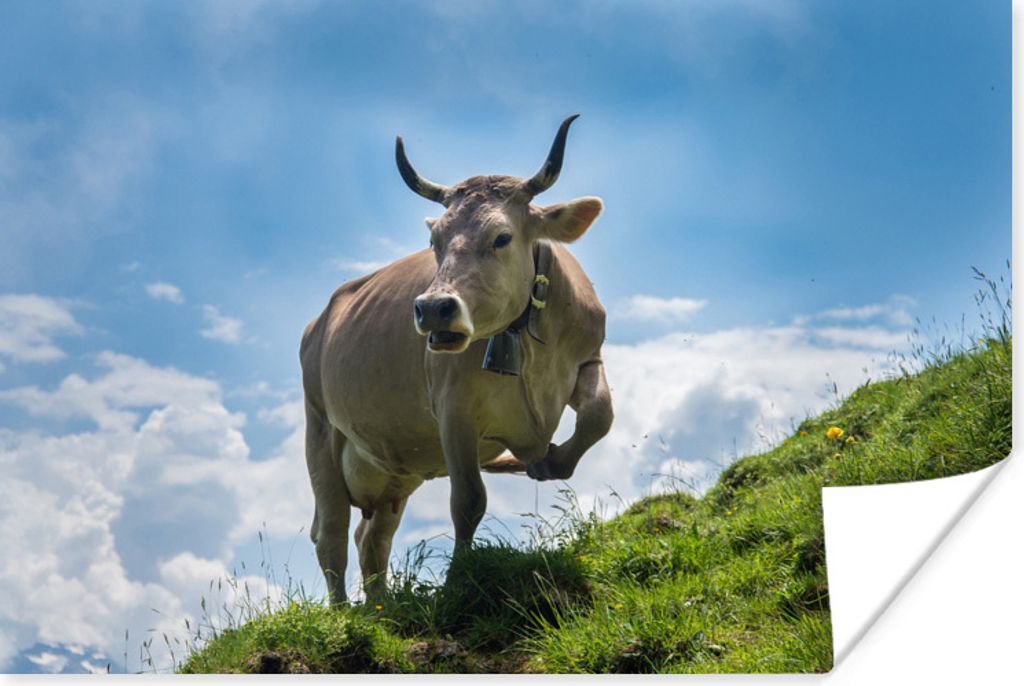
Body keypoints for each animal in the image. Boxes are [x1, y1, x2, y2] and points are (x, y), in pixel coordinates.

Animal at [300, 115, 613, 604]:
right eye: (435, 240)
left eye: (502, 237)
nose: (433, 308)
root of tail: (320, 322)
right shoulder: (453, 409)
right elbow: (468, 500)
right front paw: (458, 580)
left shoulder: (589, 359)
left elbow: (600, 416)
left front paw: (546, 462)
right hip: (320, 431)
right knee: (331, 532)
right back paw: (343, 612)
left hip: (396, 469)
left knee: (373, 537)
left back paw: (380, 607)